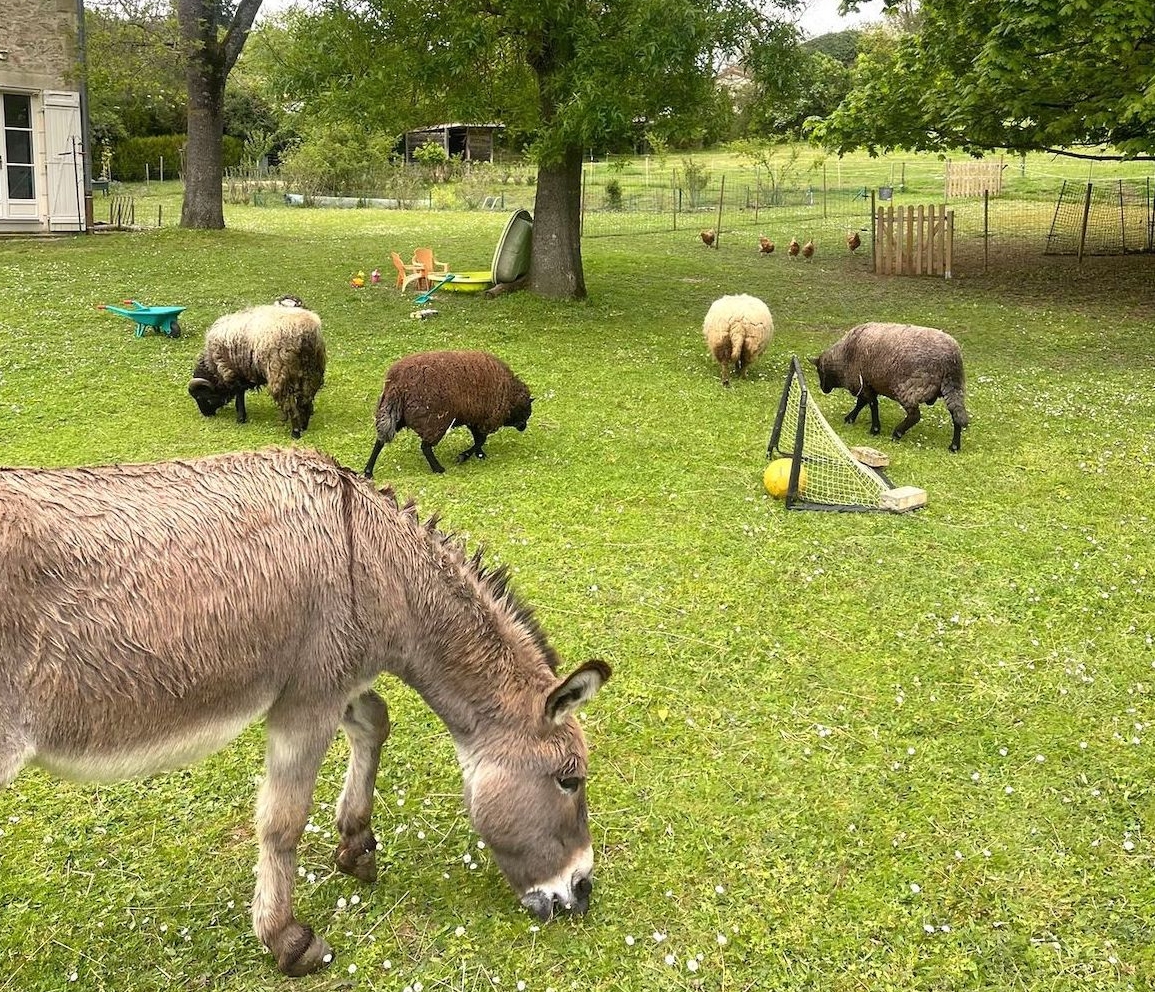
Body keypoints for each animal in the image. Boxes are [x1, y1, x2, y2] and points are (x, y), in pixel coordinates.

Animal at [188, 297, 325, 438]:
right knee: (306, 399)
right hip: (312, 371)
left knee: (290, 403)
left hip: (280, 373)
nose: (206, 414)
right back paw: (304, 425)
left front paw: (240, 418)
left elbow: (239, 395)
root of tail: (306, 332)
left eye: (199, 397)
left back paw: (295, 432)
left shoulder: (232, 372)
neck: (212, 367)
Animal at [362, 348, 533, 478]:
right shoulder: (485, 418)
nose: (523, 427)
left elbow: (478, 439)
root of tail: (396, 384)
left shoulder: (474, 418)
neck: (510, 394)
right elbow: (480, 440)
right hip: (433, 422)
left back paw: (368, 471)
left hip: (393, 415)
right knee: (425, 447)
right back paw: (438, 469)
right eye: (526, 411)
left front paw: (479, 455)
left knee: (380, 441)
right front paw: (463, 456)